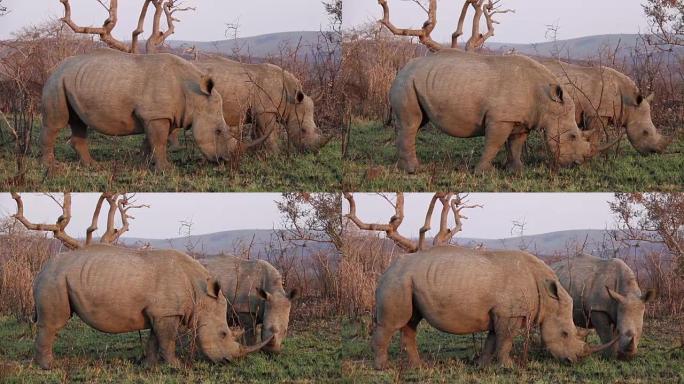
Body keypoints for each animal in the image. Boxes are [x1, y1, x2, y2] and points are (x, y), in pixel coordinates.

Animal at [33, 244, 270, 370]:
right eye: (223, 334)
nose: (228, 361)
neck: (201, 297)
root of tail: (42, 268)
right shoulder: (167, 313)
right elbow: (168, 340)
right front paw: (176, 366)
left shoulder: (161, 312)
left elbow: (156, 339)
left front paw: (150, 366)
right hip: (55, 278)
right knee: (53, 323)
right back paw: (48, 367)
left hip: (57, 277)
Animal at [372, 246, 616, 368]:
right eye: (565, 333)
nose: (573, 362)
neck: (548, 299)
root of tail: (387, 268)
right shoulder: (510, 313)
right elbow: (506, 339)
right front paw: (508, 366)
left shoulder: (499, 312)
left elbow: (492, 340)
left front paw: (482, 366)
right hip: (398, 280)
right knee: (392, 324)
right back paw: (382, 367)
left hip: (407, 281)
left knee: (410, 322)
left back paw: (418, 366)